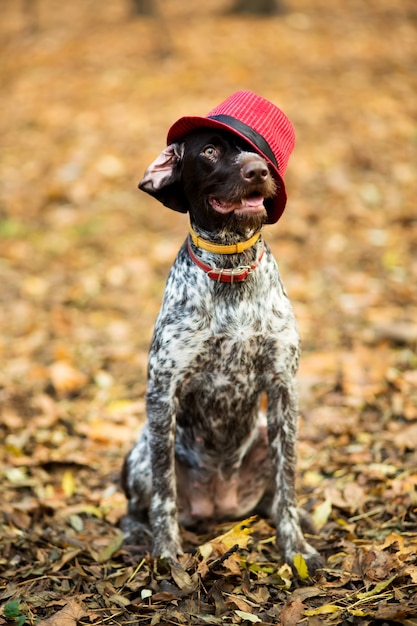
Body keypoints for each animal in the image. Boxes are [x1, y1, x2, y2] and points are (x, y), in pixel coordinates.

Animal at [120, 90, 322, 572]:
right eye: (210, 151)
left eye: (258, 153)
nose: (258, 171)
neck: (231, 271)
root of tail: (219, 505)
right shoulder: (163, 393)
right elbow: (164, 496)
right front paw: (166, 553)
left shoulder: (283, 389)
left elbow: (287, 486)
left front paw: (295, 548)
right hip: (141, 451)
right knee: (136, 507)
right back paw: (138, 536)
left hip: (267, 435)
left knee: (273, 497)